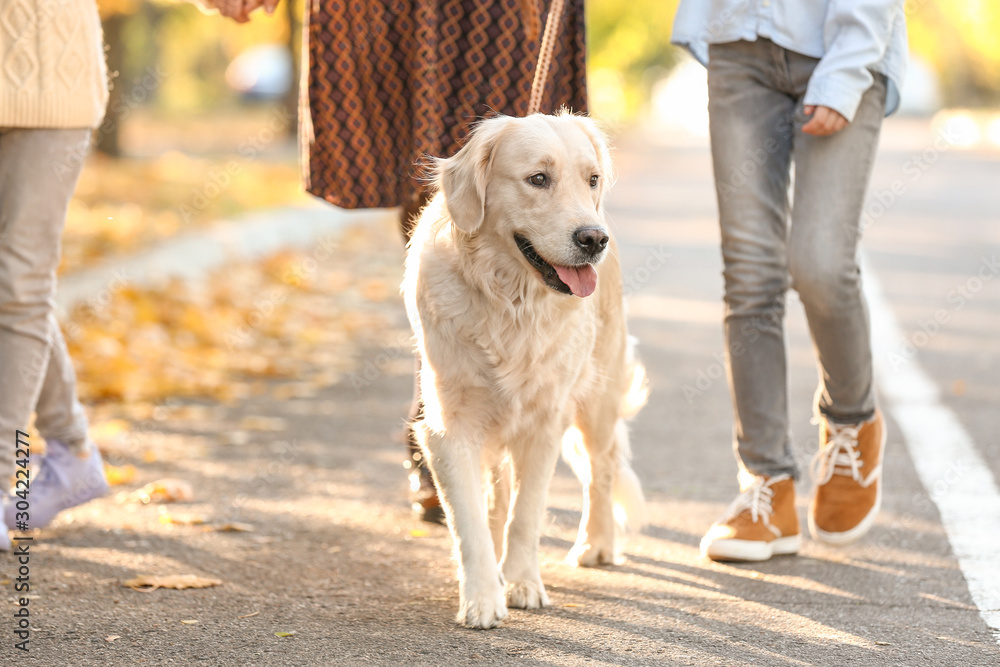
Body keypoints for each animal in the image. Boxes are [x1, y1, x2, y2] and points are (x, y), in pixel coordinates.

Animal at [402, 112, 644, 628]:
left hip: (598, 395)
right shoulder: (449, 429)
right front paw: (482, 597)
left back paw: (596, 543)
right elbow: (471, 520)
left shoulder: (544, 422)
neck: (511, 301)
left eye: (592, 179)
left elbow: (526, 514)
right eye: (538, 179)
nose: (593, 239)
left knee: (602, 468)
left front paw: (522, 584)